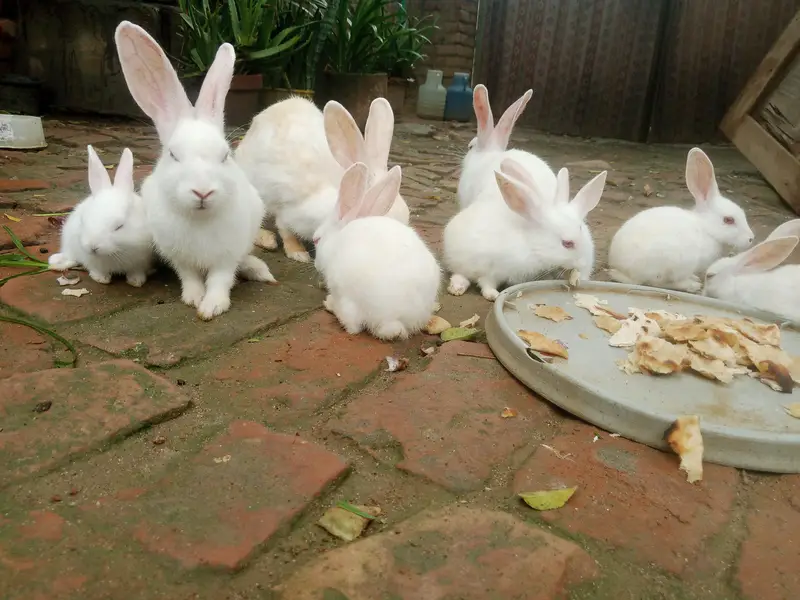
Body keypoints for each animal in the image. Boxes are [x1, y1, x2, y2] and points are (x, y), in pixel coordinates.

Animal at [48, 145, 153, 287]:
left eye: (119, 226)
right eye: (83, 221)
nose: (93, 247)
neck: (116, 252)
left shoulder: (141, 262)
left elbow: (136, 271)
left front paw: (136, 281)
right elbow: (97, 270)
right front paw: (101, 279)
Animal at [114, 21, 275, 321]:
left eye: (225, 155)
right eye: (173, 155)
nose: (203, 192)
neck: (199, 220)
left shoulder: (227, 255)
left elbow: (221, 278)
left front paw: (212, 306)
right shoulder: (178, 257)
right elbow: (189, 276)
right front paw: (193, 298)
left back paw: (258, 270)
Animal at [313, 162, 440, 340]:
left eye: (316, 240)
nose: (316, 265)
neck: (336, 238)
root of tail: (398, 317)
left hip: (348, 297)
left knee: (354, 325)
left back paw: (330, 304)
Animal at [444, 157, 607, 301]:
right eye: (567, 243)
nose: (582, 264)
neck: (533, 248)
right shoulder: (492, 268)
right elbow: (486, 283)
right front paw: (493, 295)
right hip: (460, 261)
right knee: (459, 274)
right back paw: (457, 287)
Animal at [607, 147, 754, 294]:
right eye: (729, 220)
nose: (751, 239)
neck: (706, 229)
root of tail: (619, 267)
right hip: (668, 265)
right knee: (658, 283)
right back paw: (692, 285)